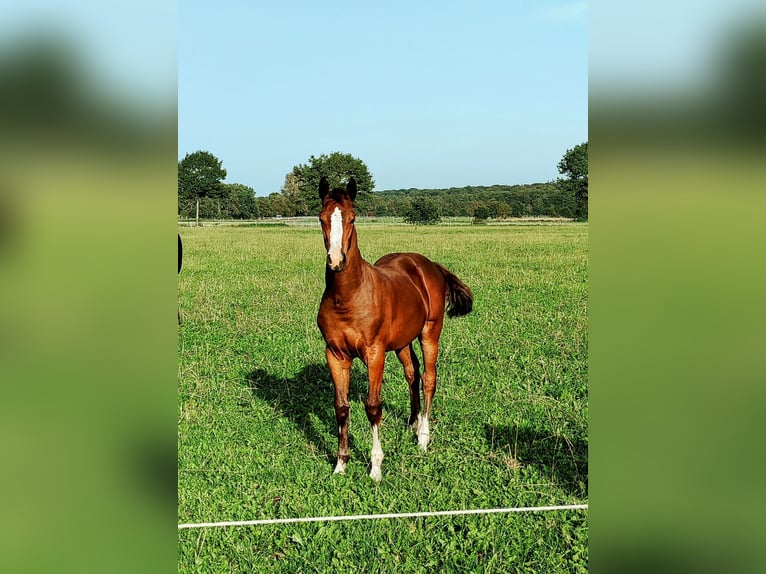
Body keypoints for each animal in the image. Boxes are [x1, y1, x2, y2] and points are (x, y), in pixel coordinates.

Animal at [314, 178, 472, 484]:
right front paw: (340, 464)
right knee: (412, 373)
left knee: (428, 378)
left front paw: (375, 466)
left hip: (429, 332)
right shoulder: (335, 354)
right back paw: (413, 422)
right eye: (322, 219)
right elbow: (341, 407)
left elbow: (373, 405)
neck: (347, 297)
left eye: (352, 219)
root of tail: (427, 264)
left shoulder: (374, 353)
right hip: (402, 342)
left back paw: (423, 437)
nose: (336, 261)